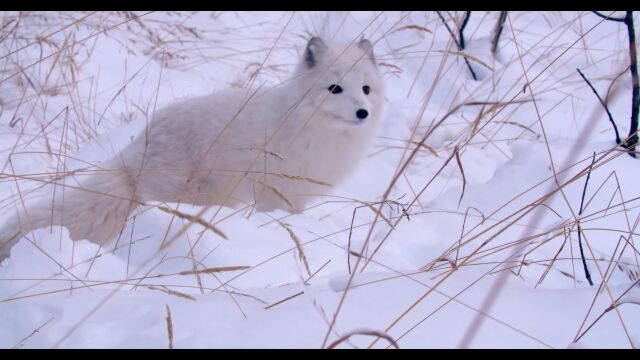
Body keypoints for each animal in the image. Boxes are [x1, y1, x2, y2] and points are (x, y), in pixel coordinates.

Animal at [0, 36, 384, 262]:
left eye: (366, 89)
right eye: (334, 88)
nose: (363, 113)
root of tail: (139, 146)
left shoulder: (298, 193)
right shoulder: (277, 191)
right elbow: (282, 217)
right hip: (196, 192)